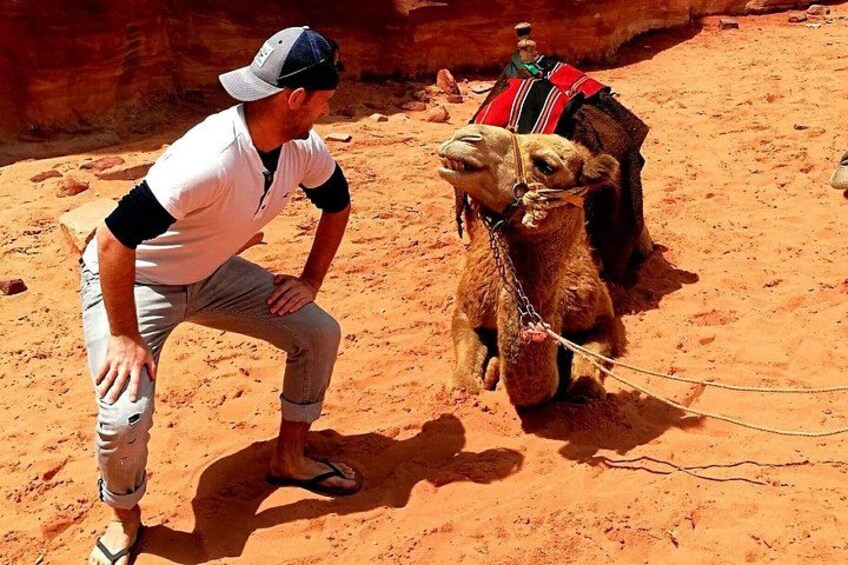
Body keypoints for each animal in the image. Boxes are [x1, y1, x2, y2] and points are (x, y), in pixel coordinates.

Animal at [437, 124, 623, 407]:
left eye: (545, 165)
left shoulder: (601, 314)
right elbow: (463, 382)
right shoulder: (467, 307)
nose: (466, 136)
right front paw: (479, 377)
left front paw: (584, 388)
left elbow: (588, 373)